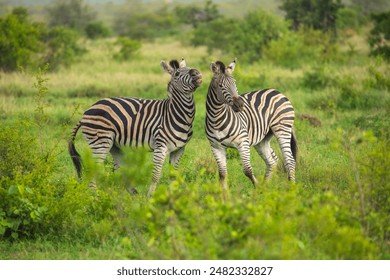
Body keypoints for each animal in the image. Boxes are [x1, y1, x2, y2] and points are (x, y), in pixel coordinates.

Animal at [69, 57, 203, 196]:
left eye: (191, 68)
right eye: (177, 74)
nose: (196, 73)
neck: (176, 114)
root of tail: (88, 110)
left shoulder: (179, 149)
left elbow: (173, 175)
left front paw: (174, 195)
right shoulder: (160, 146)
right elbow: (156, 175)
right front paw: (150, 197)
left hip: (113, 145)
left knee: (120, 169)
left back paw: (132, 194)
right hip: (100, 141)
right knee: (95, 169)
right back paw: (94, 196)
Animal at [206, 59, 298, 192]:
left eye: (234, 83)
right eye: (220, 85)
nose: (240, 105)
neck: (216, 118)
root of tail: (277, 91)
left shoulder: (243, 142)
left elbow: (247, 170)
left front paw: (257, 187)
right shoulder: (216, 147)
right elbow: (222, 173)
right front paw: (224, 194)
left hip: (282, 128)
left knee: (290, 160)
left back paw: (292, 188)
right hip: (263, 139)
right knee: (272, 161)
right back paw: (265, 187)